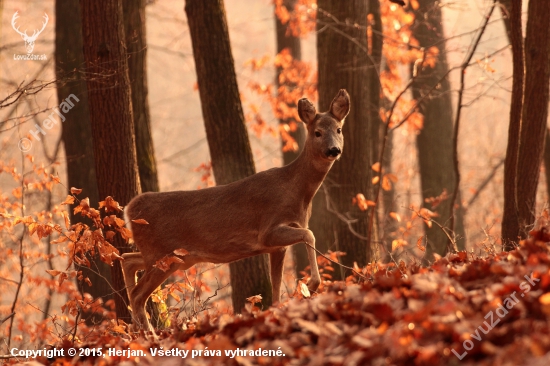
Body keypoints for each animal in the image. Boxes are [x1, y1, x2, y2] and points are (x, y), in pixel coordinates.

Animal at [123, 89, 352, 334]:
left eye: (338, 129)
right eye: (317, 132)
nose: (333, 150)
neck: (296, 191)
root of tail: (129, 209)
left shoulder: (277, 246)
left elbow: (276, 286)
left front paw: (279, 310)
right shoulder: (268, 229)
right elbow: (309, 234)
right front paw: (311, 285)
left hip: (173, 257)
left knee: (127, 260)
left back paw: (136, 330)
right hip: (162, 255)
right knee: (137, 294)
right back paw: (148, 334)